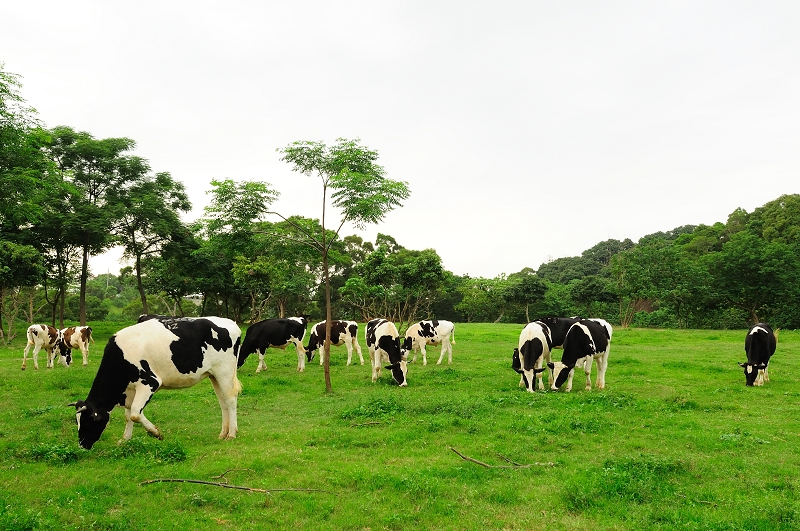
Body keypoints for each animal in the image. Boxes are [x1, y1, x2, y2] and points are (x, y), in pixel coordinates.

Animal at [70, 318, 241, 450]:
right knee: (223, 402)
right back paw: (223, 433)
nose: (82, 445)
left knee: (230, 400)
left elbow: (135, 414)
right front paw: (125, 439)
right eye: (77, 421)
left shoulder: (149, 383)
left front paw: (156, 433)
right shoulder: (129, 391)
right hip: (214, 375)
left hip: (225, 371)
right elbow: (128, 415)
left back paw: (232, 434)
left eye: (88, 421)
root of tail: (230, 322)